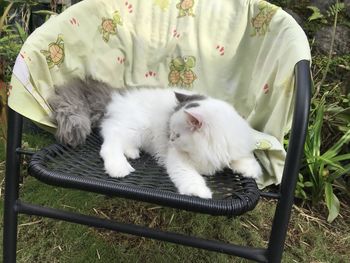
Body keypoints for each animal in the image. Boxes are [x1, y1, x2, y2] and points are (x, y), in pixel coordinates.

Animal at [49, 79, 262, 199]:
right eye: (171, 133)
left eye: (177, 134)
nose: (171, 140)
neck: (209, 149)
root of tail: (117, 97)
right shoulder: (178, 160)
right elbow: (189, 176)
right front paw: (199, 192)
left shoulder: (235, 144)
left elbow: (243, 157)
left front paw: (251, 170)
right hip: (133, 128)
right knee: (109, 143)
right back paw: (119, 168)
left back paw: (132, 153)